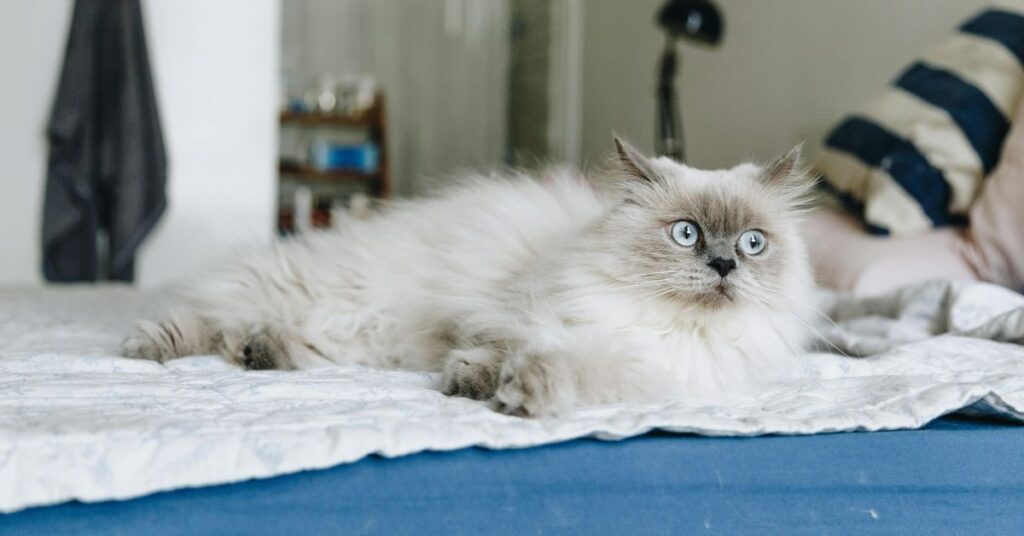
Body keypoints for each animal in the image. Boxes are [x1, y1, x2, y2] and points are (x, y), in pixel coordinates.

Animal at [125, 136, 815, 418]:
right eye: (686, 234)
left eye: (753, 244)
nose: (724, 264)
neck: (658, 325)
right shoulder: (518, 317)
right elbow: (503, 351)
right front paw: (494, 388)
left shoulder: (637, 369)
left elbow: (551, 367)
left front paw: (498, 390)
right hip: (329, 295)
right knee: (207, 314)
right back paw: (146, 347)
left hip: (357, 336)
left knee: (252, 335)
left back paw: (260, 352)